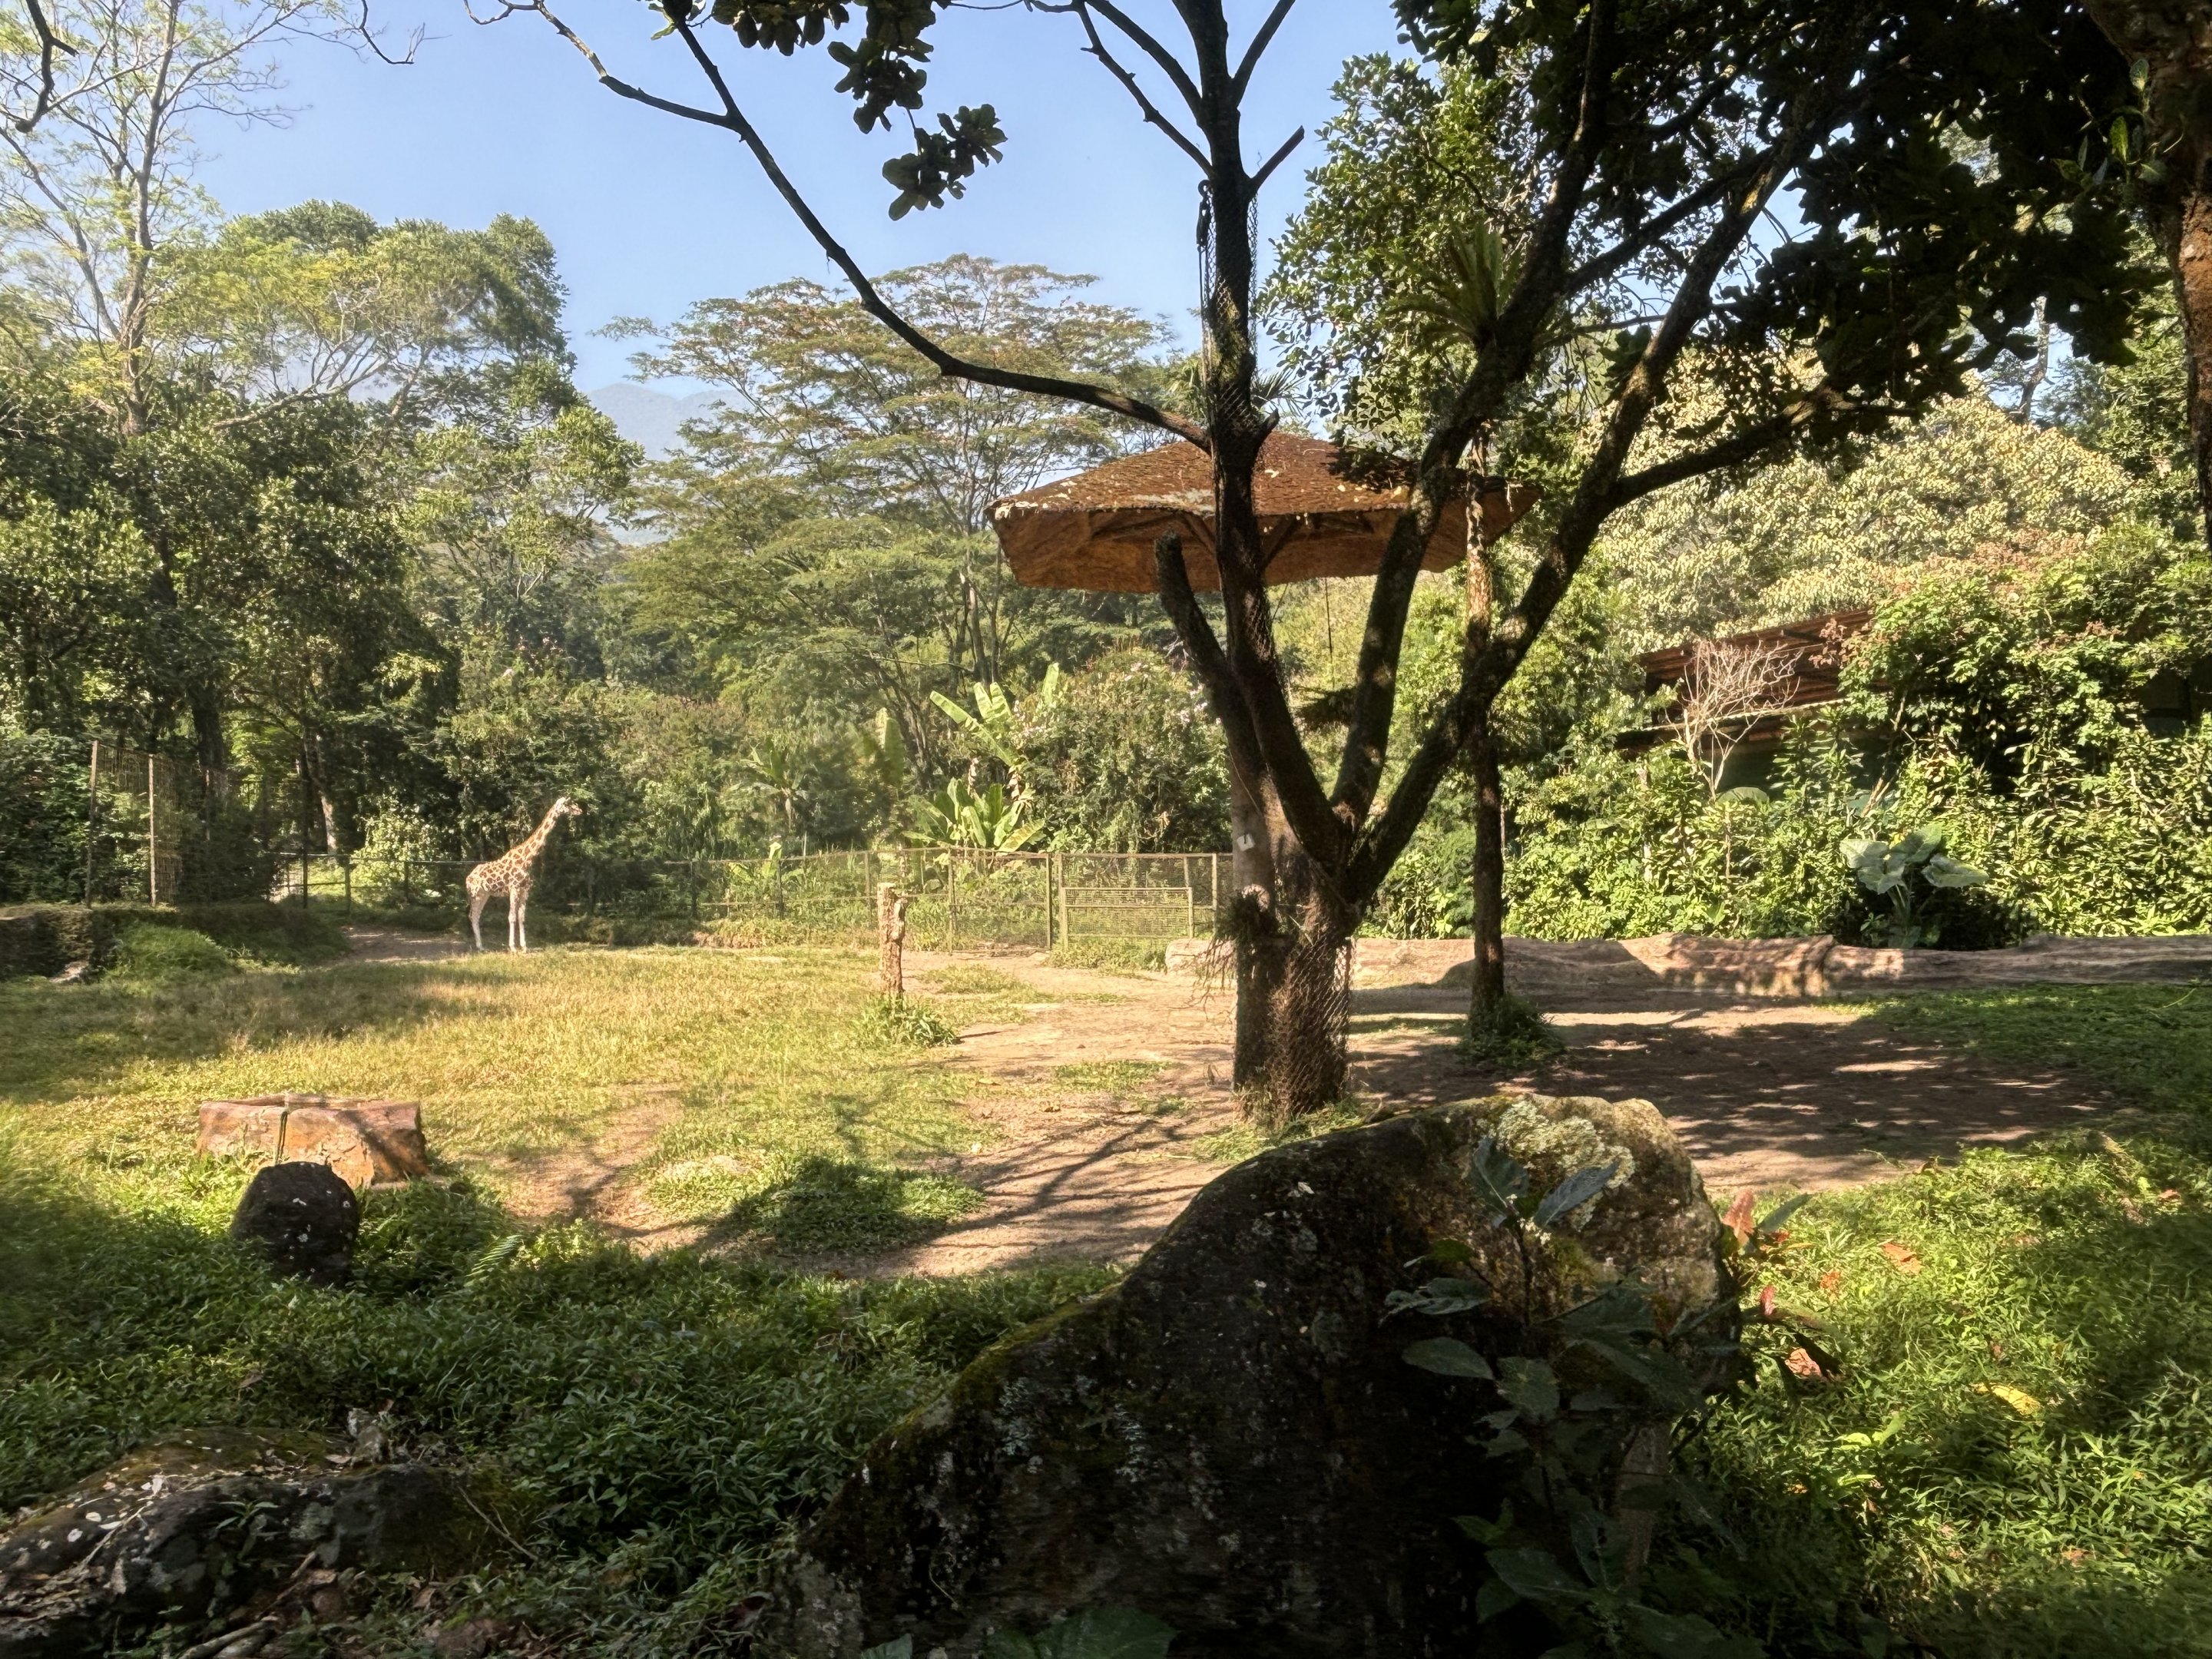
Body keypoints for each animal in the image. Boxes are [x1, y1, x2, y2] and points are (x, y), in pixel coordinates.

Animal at [466, 796, 583, 953]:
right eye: (569, 804)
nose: (580, 811)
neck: (527, 859)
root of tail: (468, 877)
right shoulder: (514, 888)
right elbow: (511, 917)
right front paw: (513, 947)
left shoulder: (525, 889)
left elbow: (521, 917)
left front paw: (524, 947)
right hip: (475, 893)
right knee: (472, 916)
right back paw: (479, 947)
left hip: (485, 894)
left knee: (477, 916)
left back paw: (482, 946)